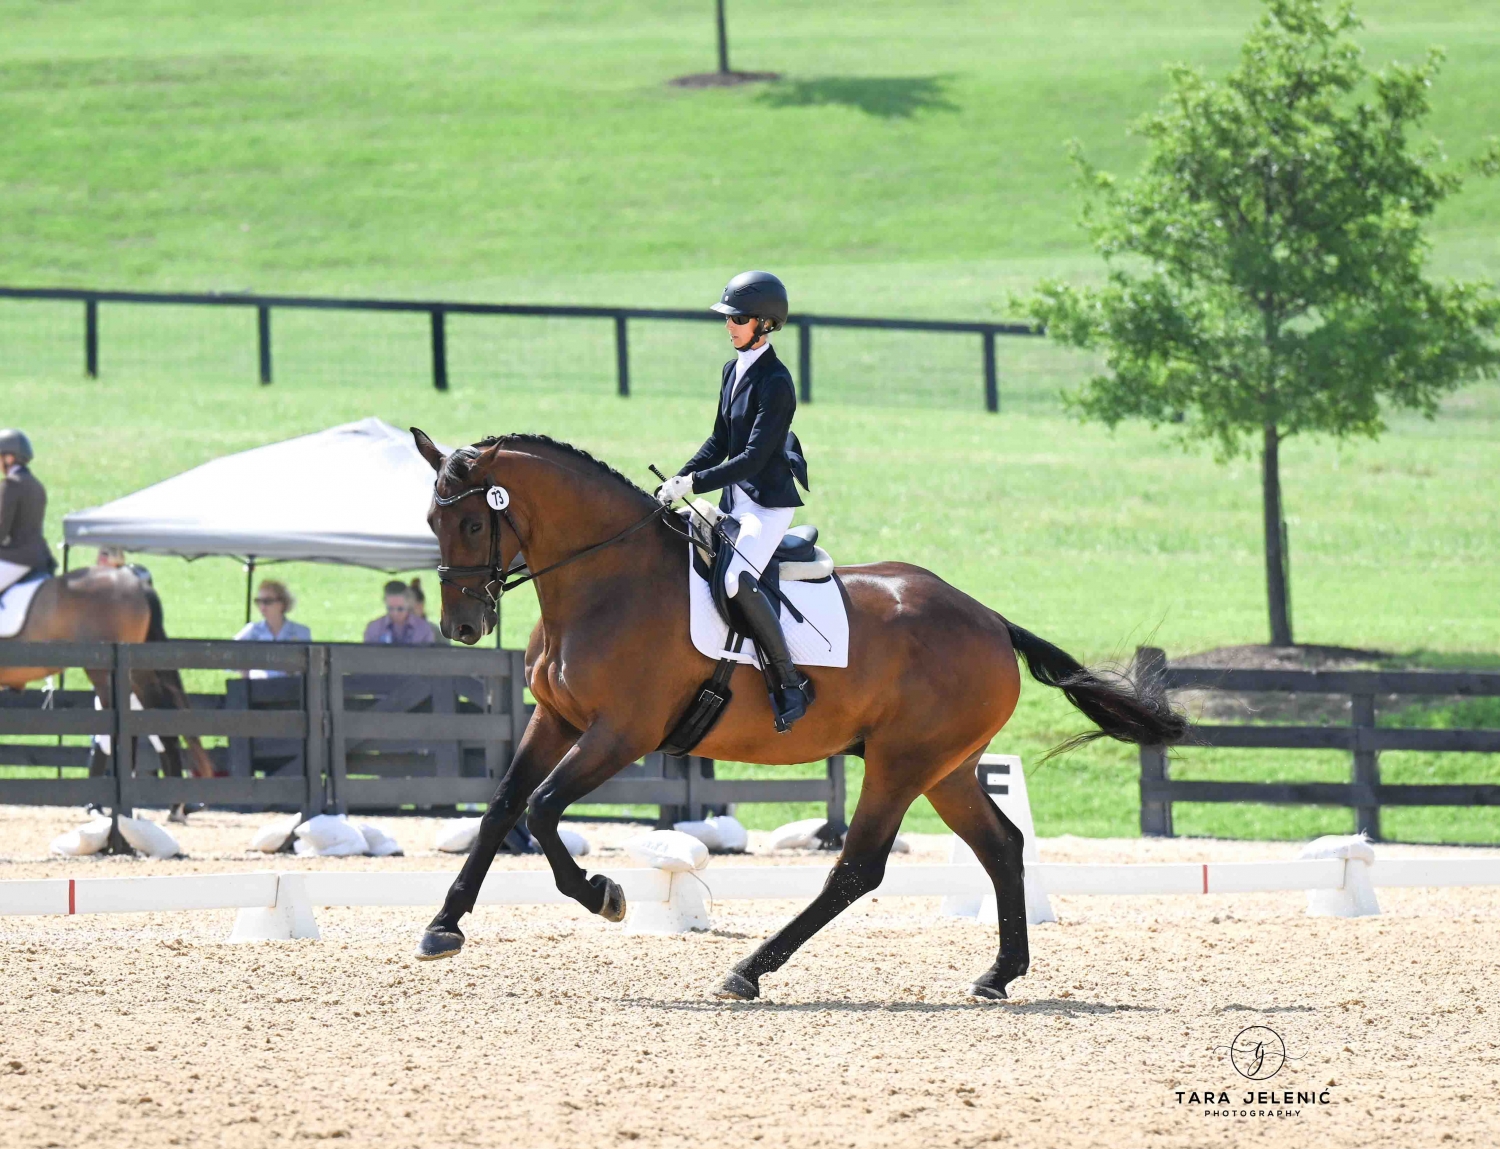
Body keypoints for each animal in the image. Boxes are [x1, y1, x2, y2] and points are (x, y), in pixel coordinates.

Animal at [408, 429, 1187, 1000]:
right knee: (1000, 846)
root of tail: (991, 620)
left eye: (473, 520)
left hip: (903, 763)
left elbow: (541, 808)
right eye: (431, 520)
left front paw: (604, 895)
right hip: (949, 768)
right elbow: (503, 805)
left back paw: (747, 970)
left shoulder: (621, 733)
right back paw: (998, 975)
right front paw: (444, 927)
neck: (607, 579)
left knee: (857, 868)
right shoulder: (559, 721)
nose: (463, 626)